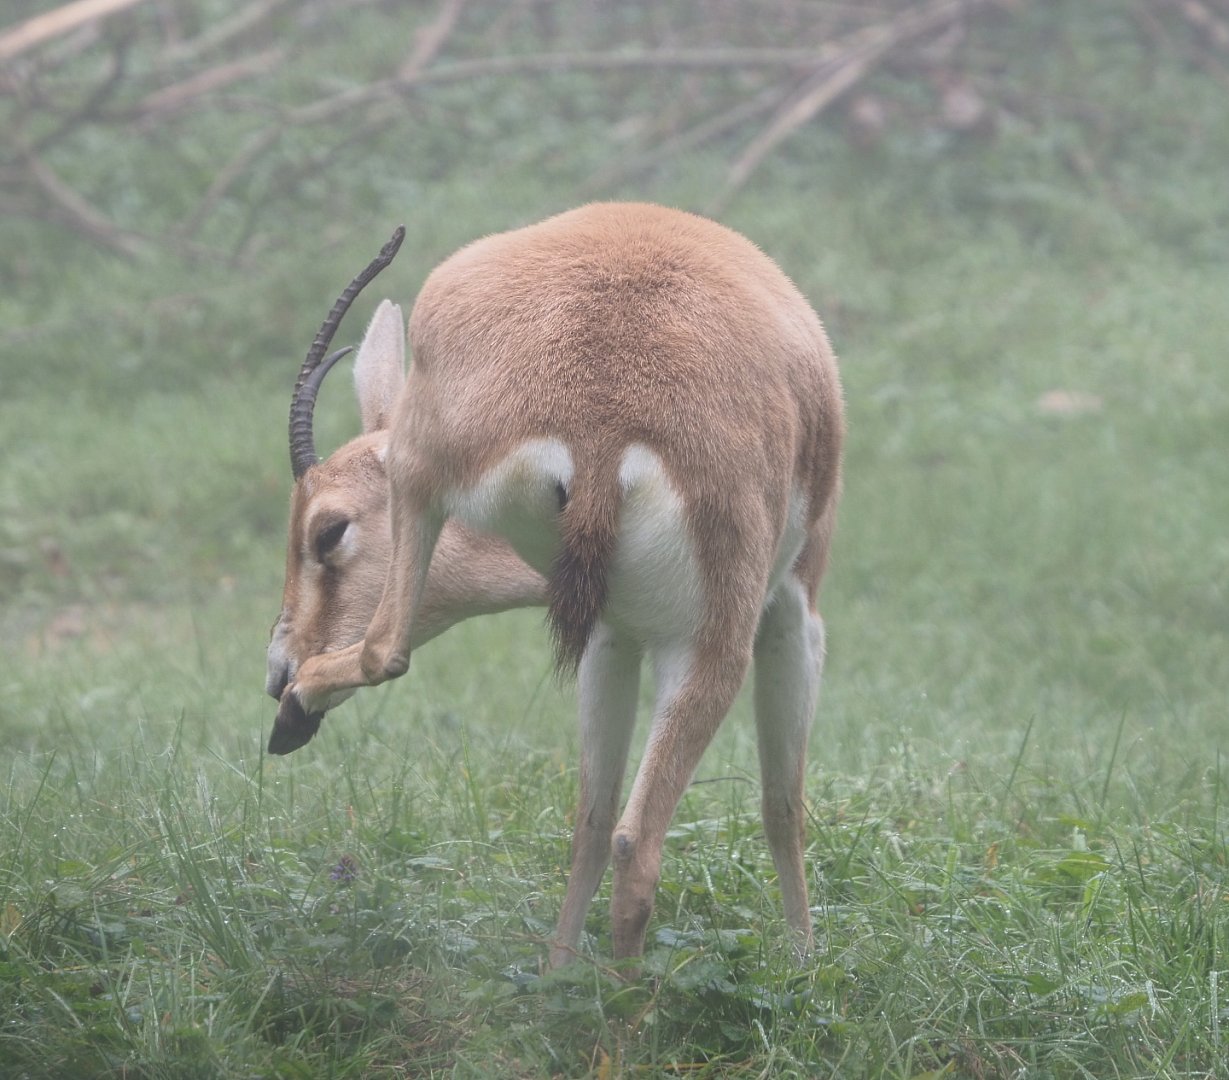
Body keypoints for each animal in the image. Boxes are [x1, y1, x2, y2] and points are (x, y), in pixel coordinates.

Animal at [265, 203, 844, 967]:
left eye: (327, 530)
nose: (277, 669)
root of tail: (603, 417)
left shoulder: (628, 632)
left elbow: (605, 818)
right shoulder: (785, 612)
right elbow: (780, 804)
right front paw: (806, 963)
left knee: (614, 831)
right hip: (705, 641)